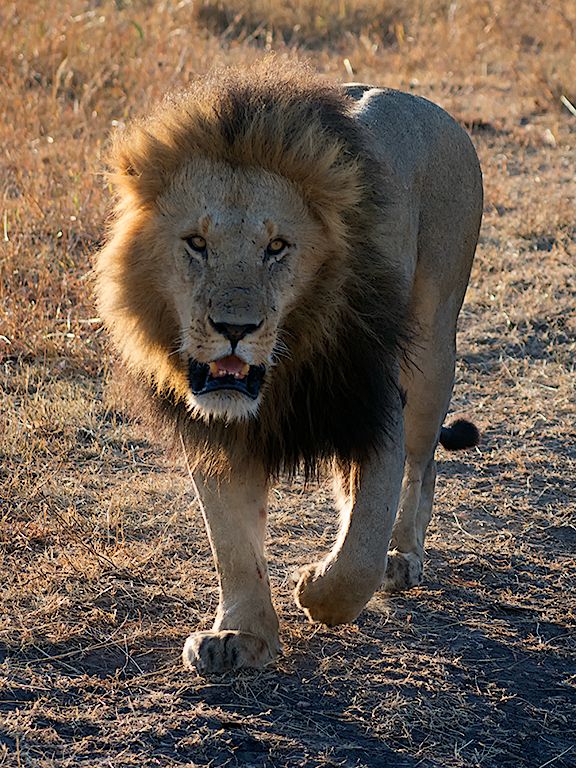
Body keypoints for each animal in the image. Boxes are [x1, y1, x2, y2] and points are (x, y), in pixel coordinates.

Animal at [95, 61, 482, 674]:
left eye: (277, 247)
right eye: (197, 242)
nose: (234, 327)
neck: (287, 363)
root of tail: (431, 108)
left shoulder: (372, 401)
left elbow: (362, 549)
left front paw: (318, 591)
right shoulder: (215, 430)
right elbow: (232, 541)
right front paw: (239, 634)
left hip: (430, 354)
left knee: (422, 469)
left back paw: (403, 555)